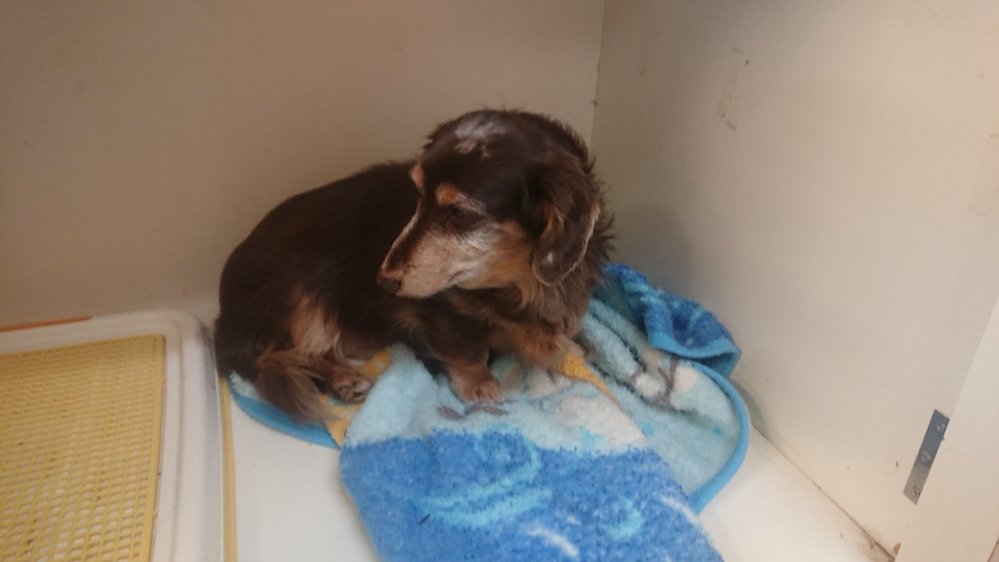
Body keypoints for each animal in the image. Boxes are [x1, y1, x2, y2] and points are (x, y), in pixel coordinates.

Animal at [214, 110, 613, 420]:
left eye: (460, 214)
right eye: (418, 196)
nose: (384, 281)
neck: (516, 284)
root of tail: (225, 314)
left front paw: (570, 350)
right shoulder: (441, 312)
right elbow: (470, 351)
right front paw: (480, 384)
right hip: (300, 295)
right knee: (279, 353)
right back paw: (344, 378)